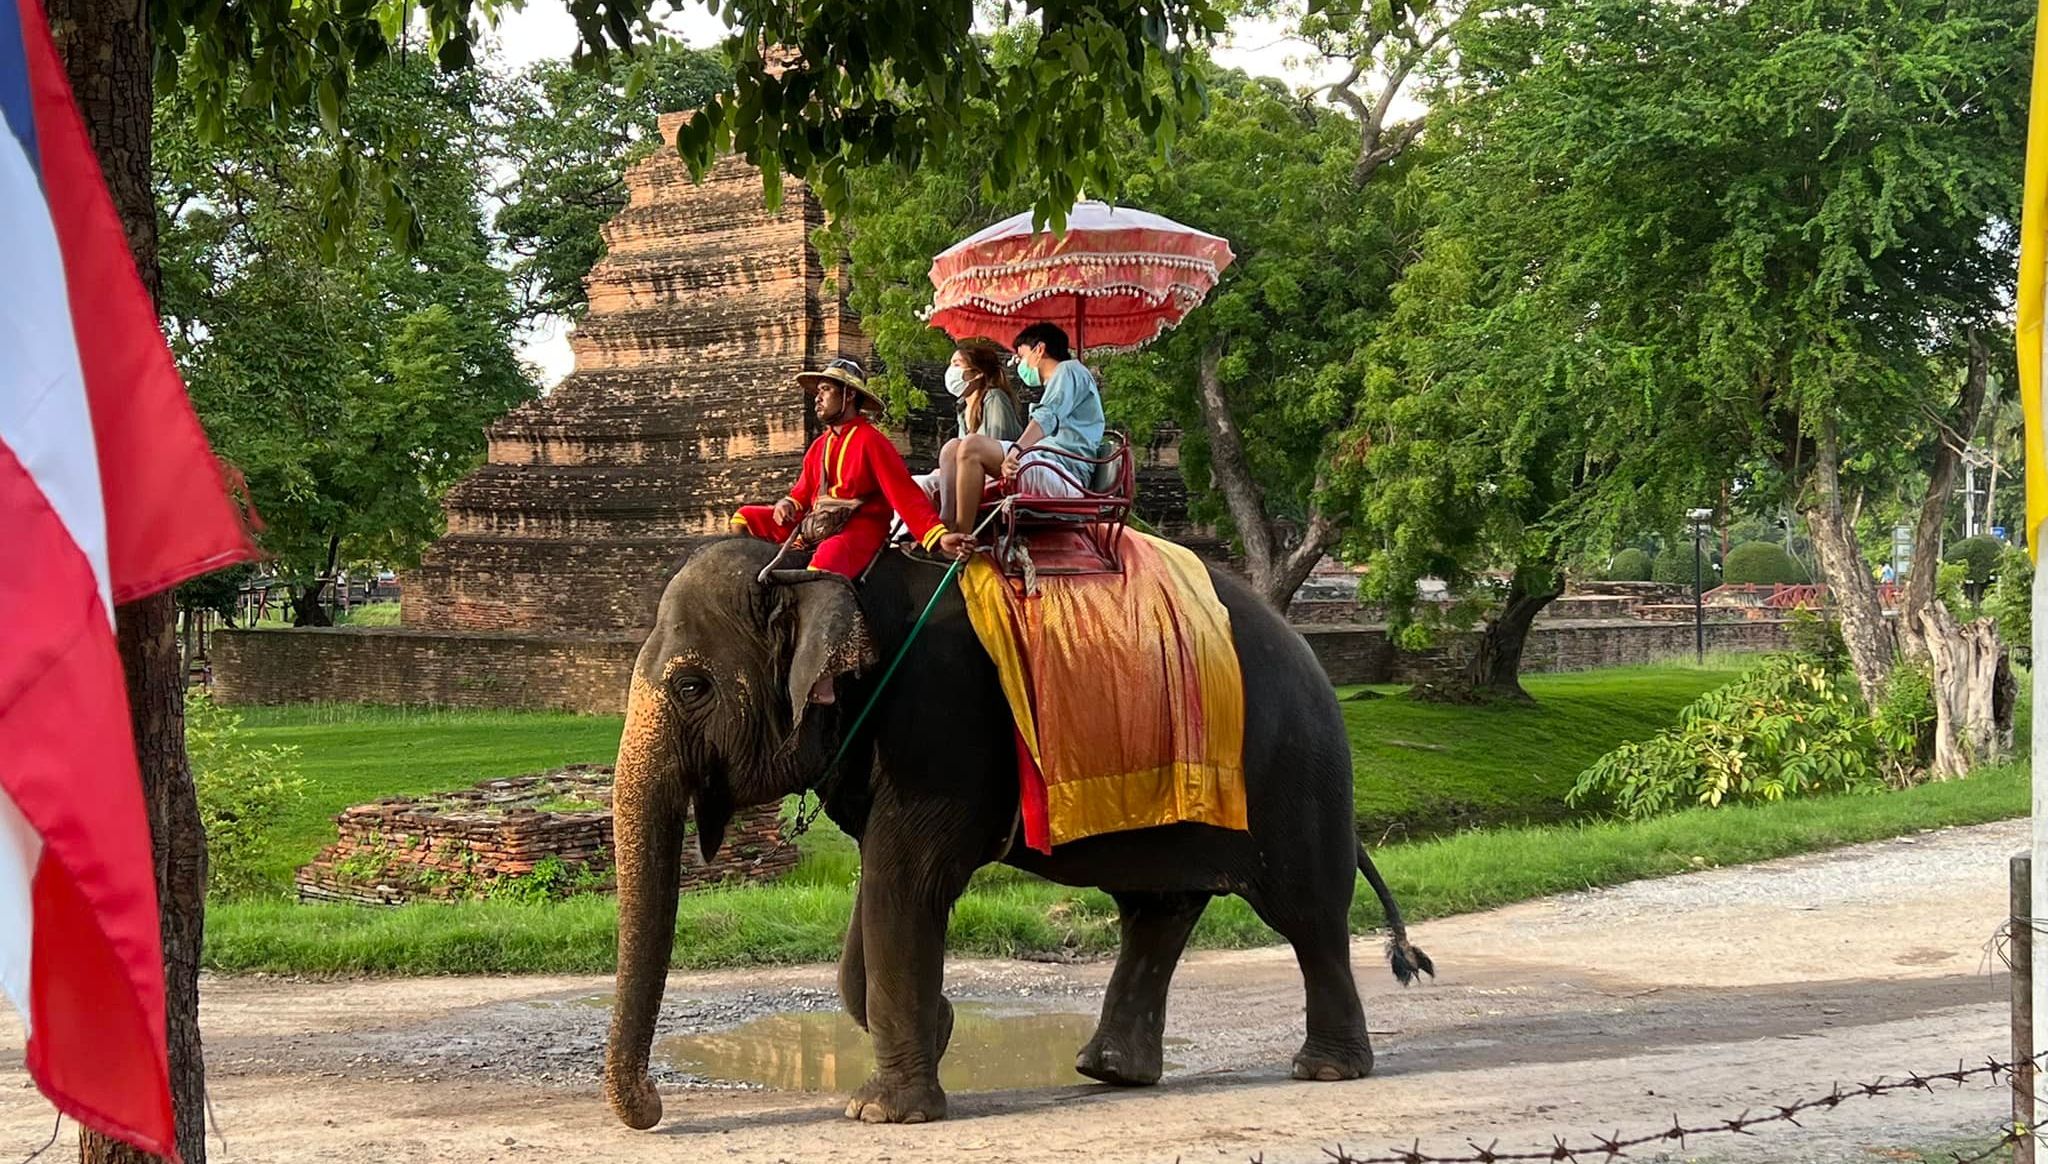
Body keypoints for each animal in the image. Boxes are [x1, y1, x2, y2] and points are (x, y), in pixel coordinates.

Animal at [598, 541, 1433, 1131]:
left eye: (692, 686)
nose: (653, 1108)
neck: (820, 568)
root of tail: (1309, 650)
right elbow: (880, 886)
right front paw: (938, 1027)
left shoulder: (940, 727)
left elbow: (908, 880)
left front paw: (881, 1113)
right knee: (1157, 911)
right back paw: (1112, 1073)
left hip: (1297, 772)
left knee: (1305, 915)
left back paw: (1324, 1071)